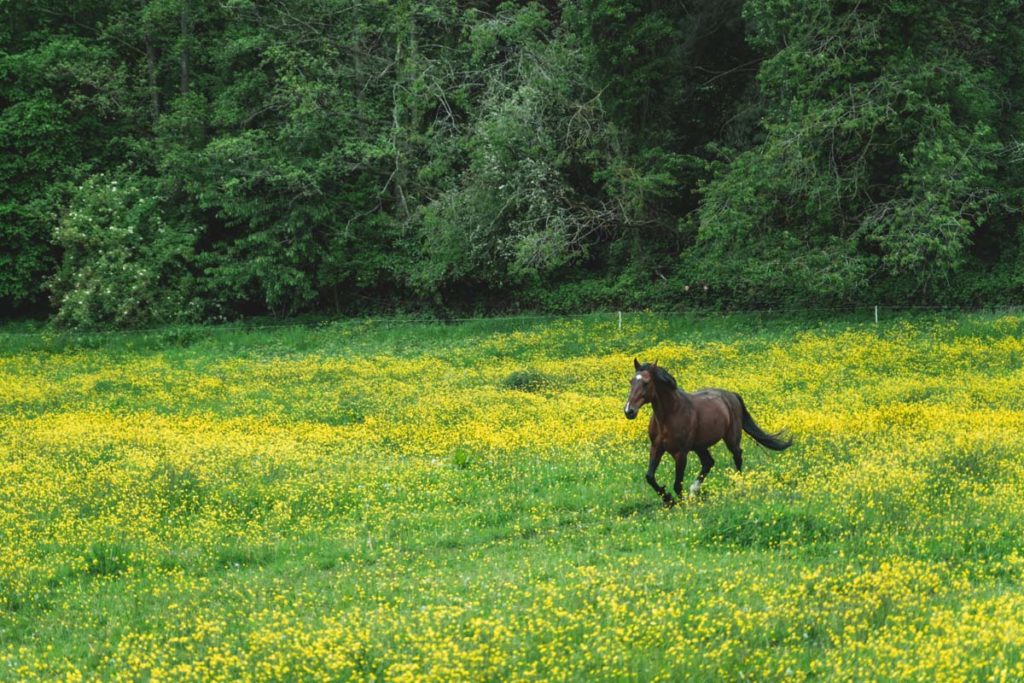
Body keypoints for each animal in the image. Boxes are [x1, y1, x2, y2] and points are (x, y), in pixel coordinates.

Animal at [622, 360, 790, 505]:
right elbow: (650, 477)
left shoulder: (681, 453)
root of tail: (731, 395)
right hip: (700, 445)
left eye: (646, 383)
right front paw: (668, 500)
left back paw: (737, 485)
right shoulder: (657, 447)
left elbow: (677, 484)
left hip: (731, 438)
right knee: (709, 462)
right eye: (631, 381)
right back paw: (693, 491)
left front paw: (679, 503)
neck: (669, 415)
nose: (629, 411)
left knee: (737, 456)